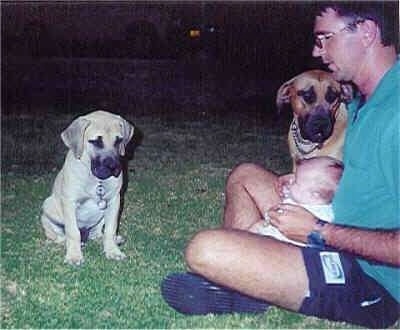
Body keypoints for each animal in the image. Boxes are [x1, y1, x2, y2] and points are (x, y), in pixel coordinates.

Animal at [41, 111, 134, 266]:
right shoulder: (70, 202)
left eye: (118, 141)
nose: (114, 168)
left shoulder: (114, 201)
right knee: (60, 236)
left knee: (97, 233)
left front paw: (113, 251)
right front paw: (74, 256)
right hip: (48, 208)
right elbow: (73, 232)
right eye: (96, 141)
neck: (96, 180)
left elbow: (110, 230)